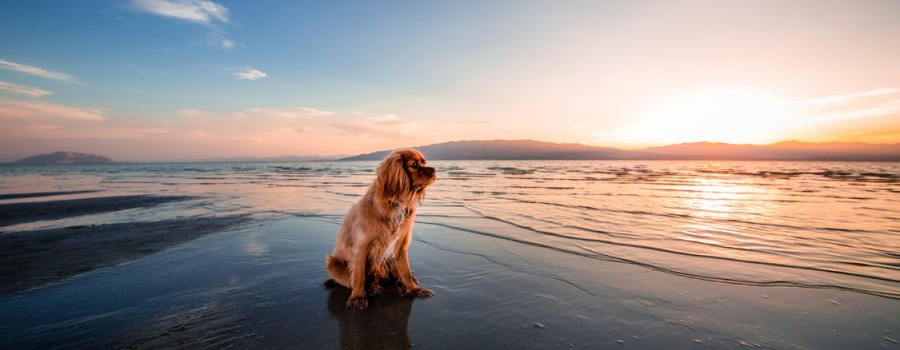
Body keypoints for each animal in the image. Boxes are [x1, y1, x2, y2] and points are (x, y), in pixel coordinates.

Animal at [326, 148, 438, 308]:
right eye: (415, 165)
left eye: (424, 163)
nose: (433, 169)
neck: (397, 203)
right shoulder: (361, 248)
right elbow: (359, 276)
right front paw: (357, 297)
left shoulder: (400, 246)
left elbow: (405, 271)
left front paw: (414, 289)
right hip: (333, 264)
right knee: (355, 280)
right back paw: (370, 288)